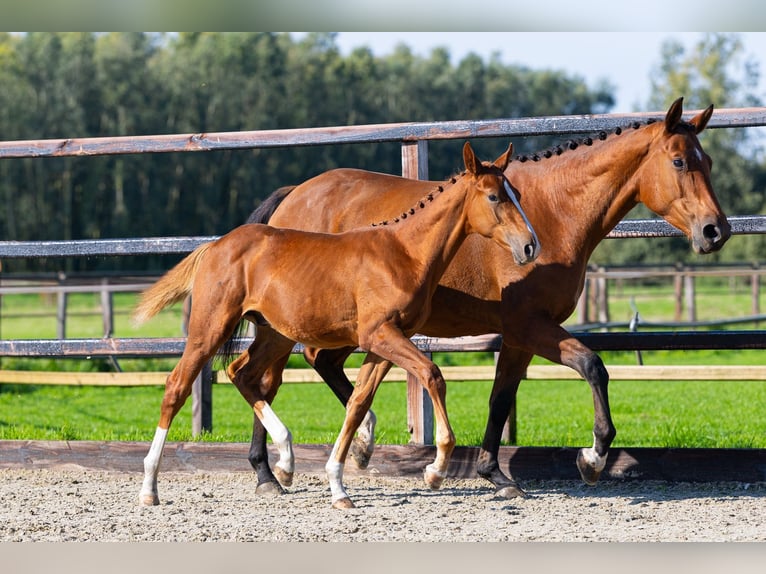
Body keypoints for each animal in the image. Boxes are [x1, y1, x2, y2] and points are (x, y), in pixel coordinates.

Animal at [133, 141, 540, 508]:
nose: (530, 246)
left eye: (518, 194)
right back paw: (150, 487)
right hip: (211, 327)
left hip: (275, 333)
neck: (405, 252)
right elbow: (432, 374)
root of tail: (216, 245)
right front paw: (435, 470)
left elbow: (358, 402)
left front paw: (340, 485)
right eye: (493, 197)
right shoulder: (380, 334)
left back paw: (284, 460)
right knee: (177, 386)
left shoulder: (387, 341)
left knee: (243, 374)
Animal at [243, 97, 730, 498]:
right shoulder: (530, 325)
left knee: (312, 366)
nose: (715, 231)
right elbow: (592, 365)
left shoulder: (517, 336)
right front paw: (591, 459)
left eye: (707, 160)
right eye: (679, 161)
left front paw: (495, 474)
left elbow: (501, 399)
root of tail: (291, 198)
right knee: (267, 378)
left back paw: (350, 447)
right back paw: (271, 472)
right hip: (299, 326)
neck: (556, 211)